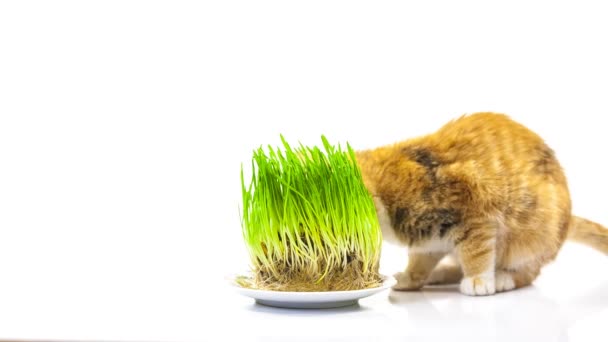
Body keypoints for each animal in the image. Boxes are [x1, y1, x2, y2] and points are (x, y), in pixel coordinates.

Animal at [356, 113, 608, 296]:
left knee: (529, 271)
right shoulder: (428, 239)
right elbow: (420, 261)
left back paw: (503, 278)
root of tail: (568, 218)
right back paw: (442, 273)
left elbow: (476, 252)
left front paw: (478, 280)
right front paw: (411, 279)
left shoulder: (476, 213)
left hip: (533, 235)